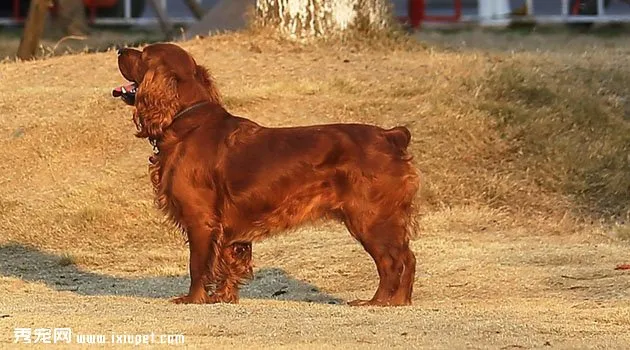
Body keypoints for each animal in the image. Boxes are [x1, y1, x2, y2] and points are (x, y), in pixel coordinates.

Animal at [113, 43, 422, 306]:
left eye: (143, 54)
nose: (119, 49)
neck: (187, 124)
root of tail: (391, 136)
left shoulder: (201, 219)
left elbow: (197, 265)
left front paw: (192, 299)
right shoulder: (228, 230)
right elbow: (227, 263)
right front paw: (222, 297)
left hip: (370, 218)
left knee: (393, 262)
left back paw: (379, 302)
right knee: (408, 258)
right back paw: (398, 302)